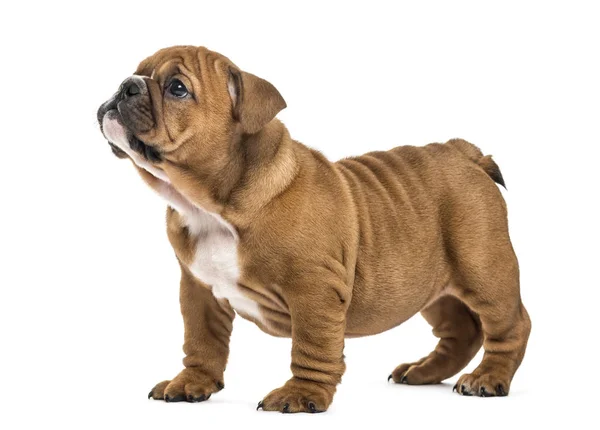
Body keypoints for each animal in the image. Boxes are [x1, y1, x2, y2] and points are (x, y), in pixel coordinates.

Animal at [97, 45, 528, 412]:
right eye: (136, 71)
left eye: (177, 88)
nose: (126, 85)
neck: (208, 206)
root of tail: (465, 154)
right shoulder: (199, 289)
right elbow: (201, 340)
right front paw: (191, 382)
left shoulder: (314, 290)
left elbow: (312, 346)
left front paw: (301, 395)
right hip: (430, 287)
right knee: (461, 331)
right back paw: (423, 371)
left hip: (483, 269)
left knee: (511, 325)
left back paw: (487, 378)